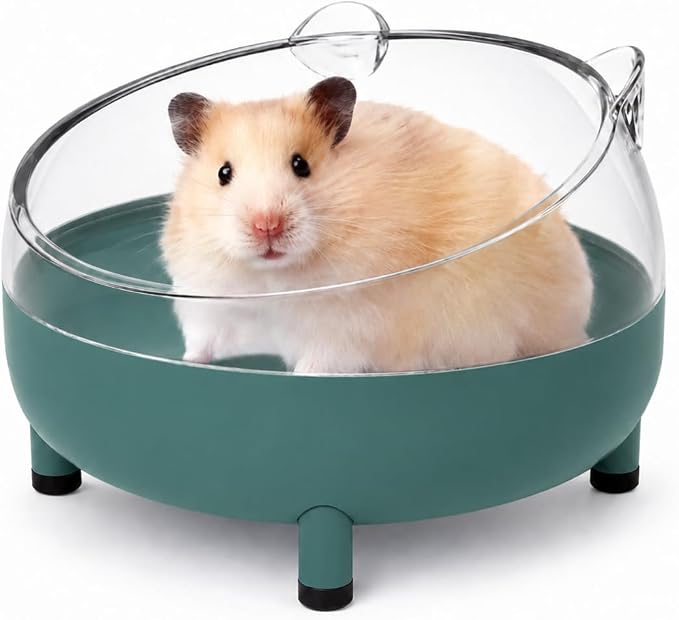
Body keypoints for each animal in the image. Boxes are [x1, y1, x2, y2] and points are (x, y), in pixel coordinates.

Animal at [161, 77, 593, 373]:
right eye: (224, 173)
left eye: (301, 165)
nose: (266, 226)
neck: (271, 278)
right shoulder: (209, 305)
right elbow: (202, 342)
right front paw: (185, 362)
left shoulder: (345, 329)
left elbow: (318, 363)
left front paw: (298, 377)